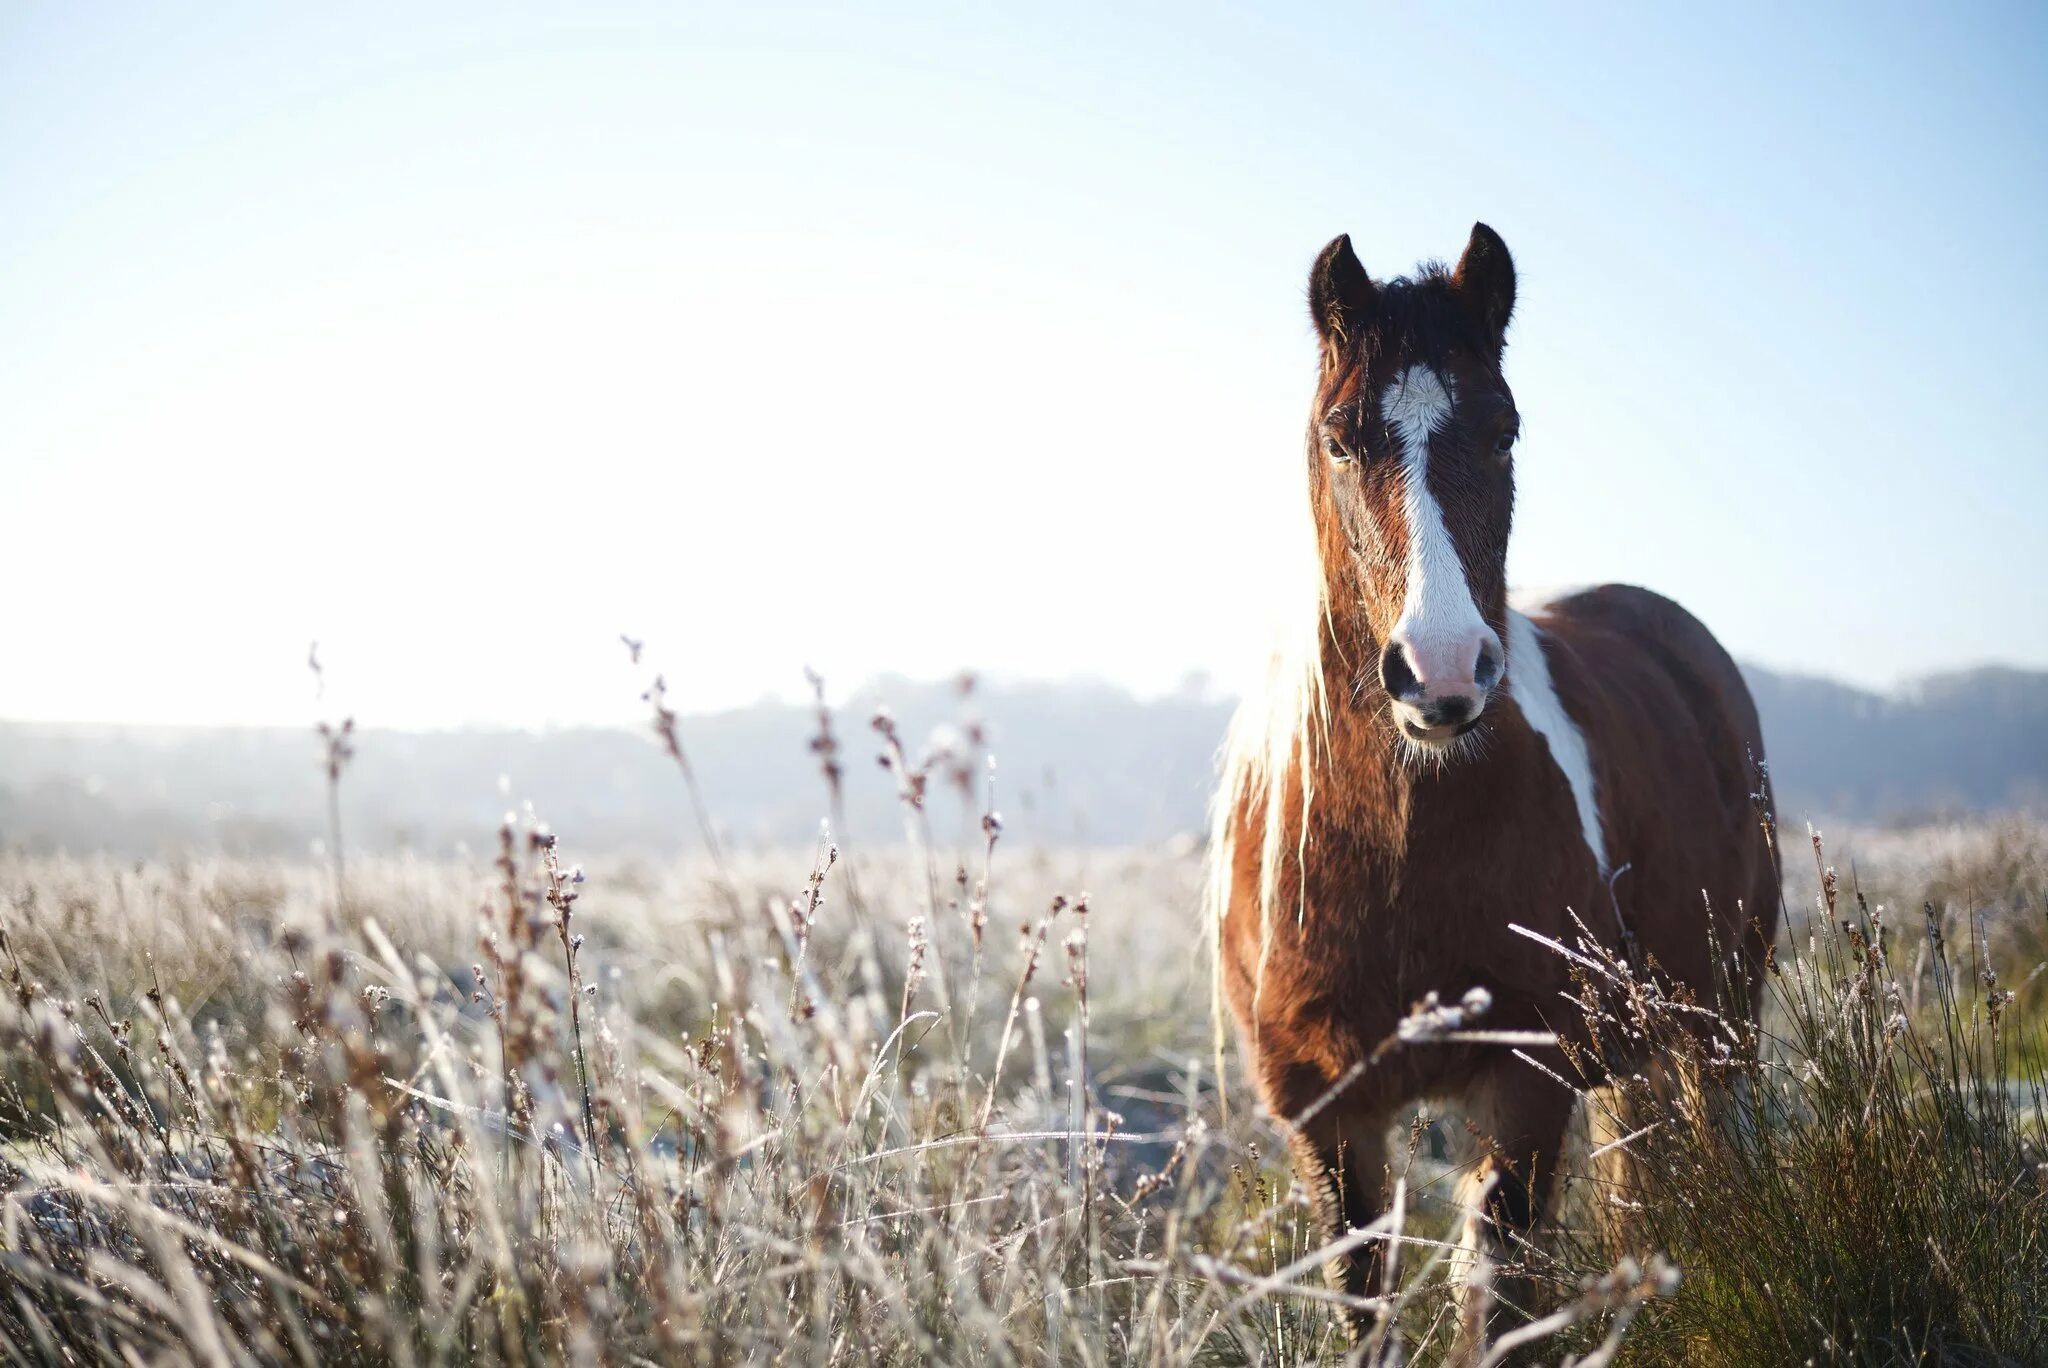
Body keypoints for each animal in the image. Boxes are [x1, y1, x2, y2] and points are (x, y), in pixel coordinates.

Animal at [1196, 222, 1777, 1335]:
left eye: (1504, 431)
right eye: (1340, 439)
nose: (1442, 671)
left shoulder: (1524, 1082)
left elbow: (1499, 1303)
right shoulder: (1328, 1115)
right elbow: (1364, 1302)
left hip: (1718, 1021)